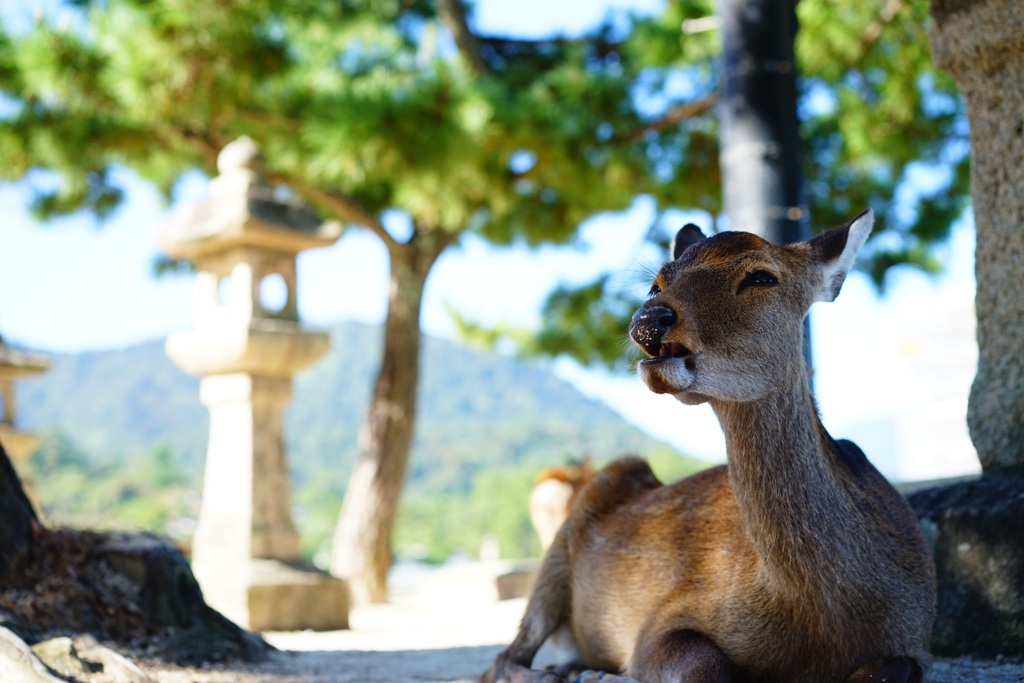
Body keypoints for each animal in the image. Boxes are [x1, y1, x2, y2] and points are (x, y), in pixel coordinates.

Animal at [479, 211, 937, 683]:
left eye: (761, 276)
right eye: (657, 283)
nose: (648, 319)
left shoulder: (916, 636)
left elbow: (892, 667)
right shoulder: (657, 624)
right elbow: (705, 662)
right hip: (556, 554)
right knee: (502, 657)